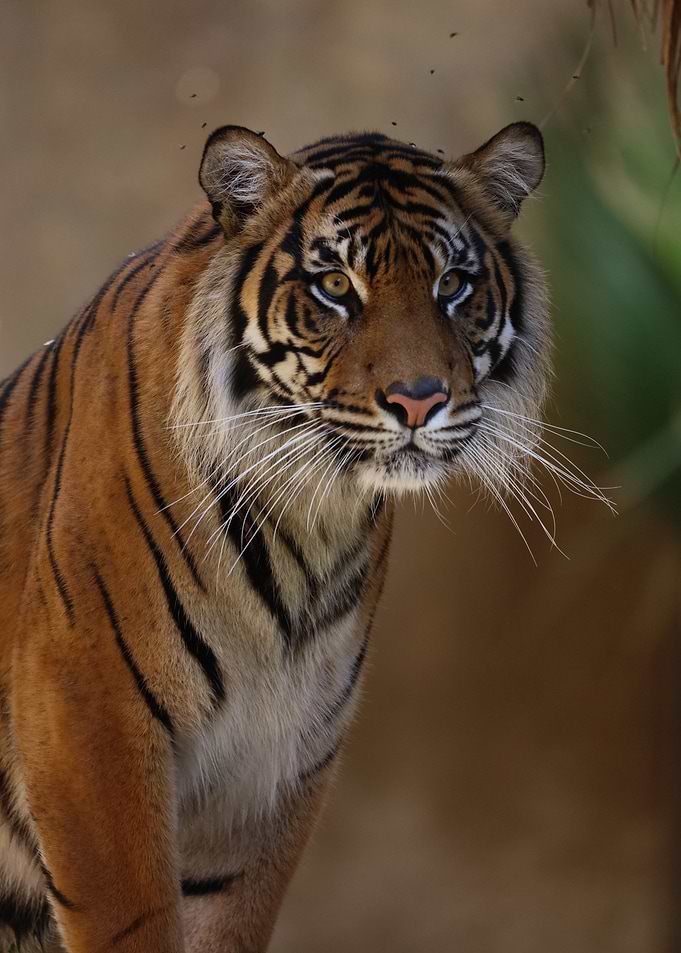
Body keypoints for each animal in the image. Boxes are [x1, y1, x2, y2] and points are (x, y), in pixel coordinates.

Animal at [0, 121, 549, 952]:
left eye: (453, 283)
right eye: (335, 287)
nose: (419, 400)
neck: (310, 520)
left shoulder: (275, 756)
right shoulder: (88, 720)